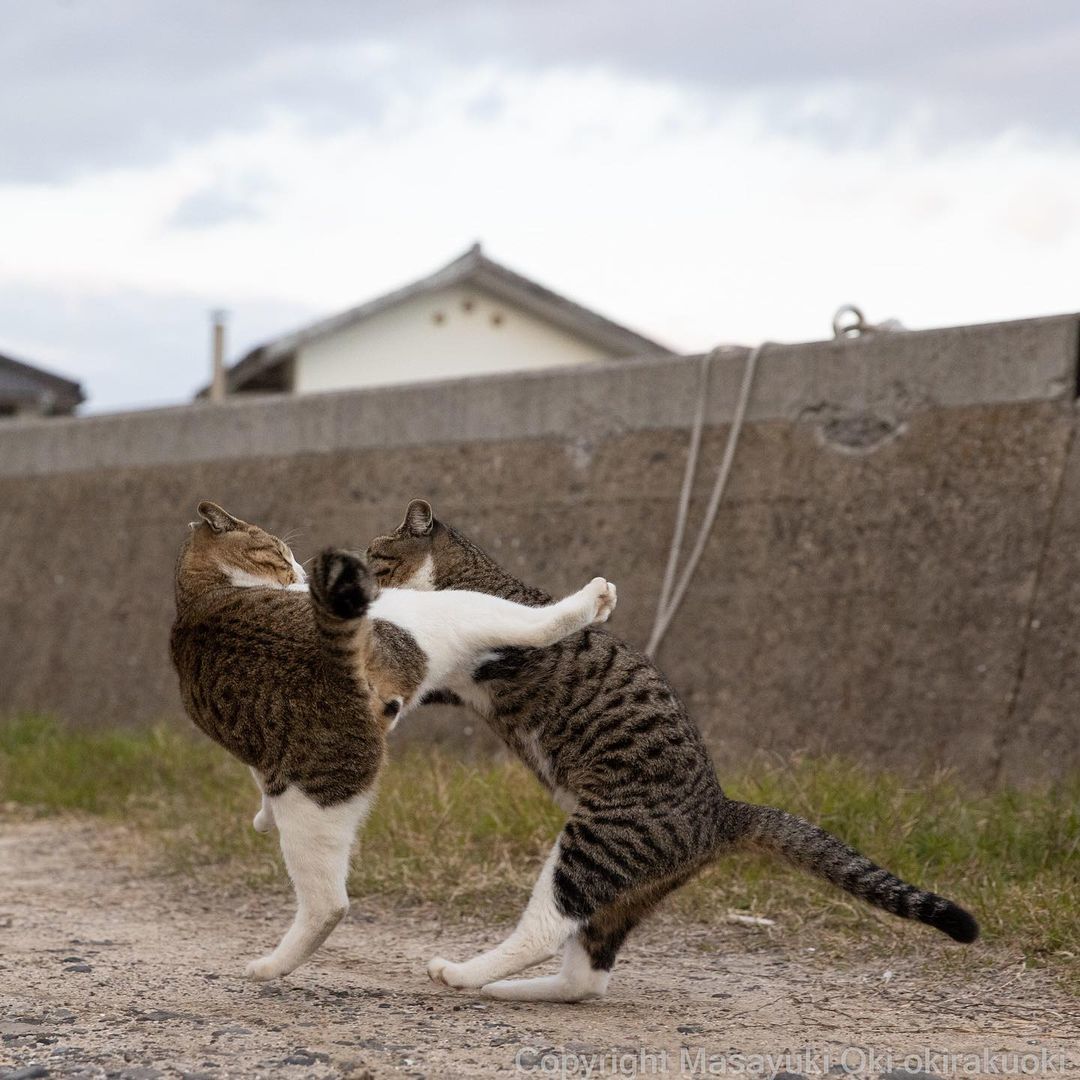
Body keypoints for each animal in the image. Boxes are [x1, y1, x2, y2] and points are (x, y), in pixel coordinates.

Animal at [367, 498, 984, 1002]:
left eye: (375, 558)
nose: (361, 583)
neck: (462, 574)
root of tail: (721, 809)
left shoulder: (487, 632)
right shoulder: (442, 675)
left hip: (593, 846)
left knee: (546, 928)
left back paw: (465, 975)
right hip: (625, 887)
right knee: (586, 976)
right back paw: (512, 989)